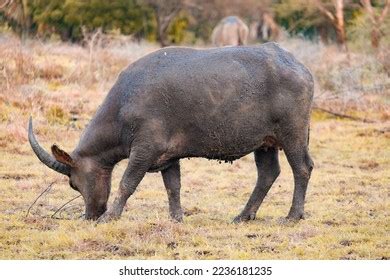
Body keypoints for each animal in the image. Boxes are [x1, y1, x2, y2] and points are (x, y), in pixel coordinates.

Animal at [29, 42, 314, 224]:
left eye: (74, 184)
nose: (90, 215)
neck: (124, 105)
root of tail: (302, 68)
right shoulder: (168, 157)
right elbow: (173, 187)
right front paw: (177, 218)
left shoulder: (144, 150)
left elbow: (127, 183)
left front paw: (110, 216)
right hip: (265, 142)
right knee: (268, 173)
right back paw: (244, 215)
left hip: (293, 133)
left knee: (302, 168)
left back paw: (292, 216)